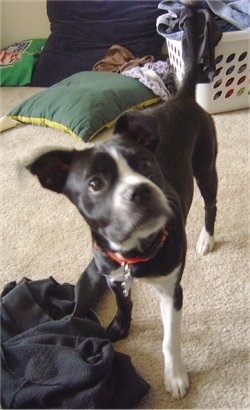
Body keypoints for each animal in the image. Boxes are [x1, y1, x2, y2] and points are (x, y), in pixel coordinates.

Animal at [28, 8, 217, 400]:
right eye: (95, 184)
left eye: (146, 165)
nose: (140, 191)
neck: (134, 251)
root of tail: (184, 98)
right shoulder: (114, 276)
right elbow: (123, 303)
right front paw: (119, 327)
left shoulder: (172, 290)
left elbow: (170, 338)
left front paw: (175, 377)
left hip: (206, 166)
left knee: (210, 205)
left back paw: (206, 238)